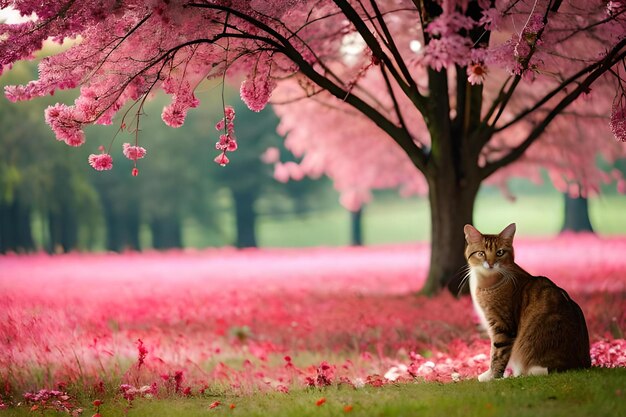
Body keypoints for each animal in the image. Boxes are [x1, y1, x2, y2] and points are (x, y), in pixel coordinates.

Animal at [460, 223, 588, 382]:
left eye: (500, 252)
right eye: (481, 253)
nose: (490, 264)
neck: (487, 283)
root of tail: (583, 364)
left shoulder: (503, 326)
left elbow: (497, 353)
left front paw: (492, 376)